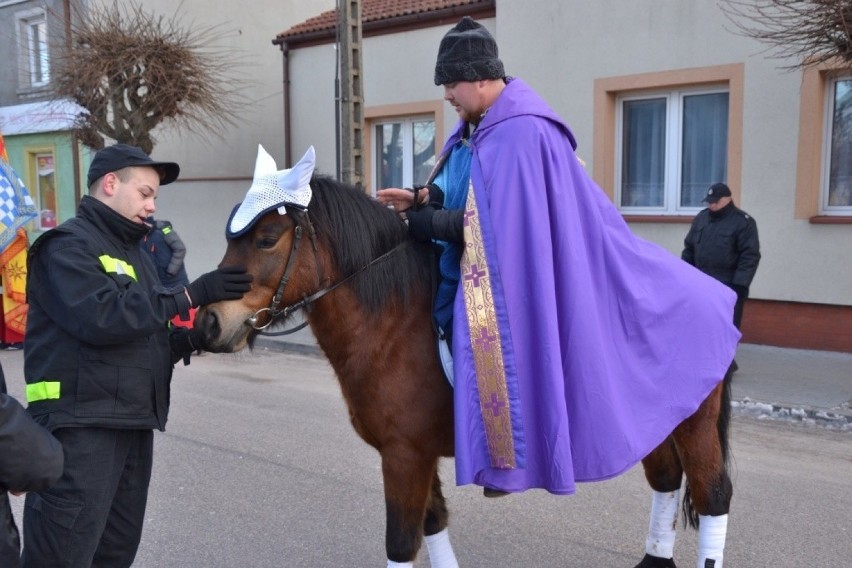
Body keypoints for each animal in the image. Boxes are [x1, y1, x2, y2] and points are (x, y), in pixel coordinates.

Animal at [195, 175, 732, 564]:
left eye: (267, 239)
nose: (207, 322)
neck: (392, 324)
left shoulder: (404, 456)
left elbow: (401, 542)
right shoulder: (415, 454)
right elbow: (433, 525)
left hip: (695, 424)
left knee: (713, 497)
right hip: (655, 422)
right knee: (667, 481)